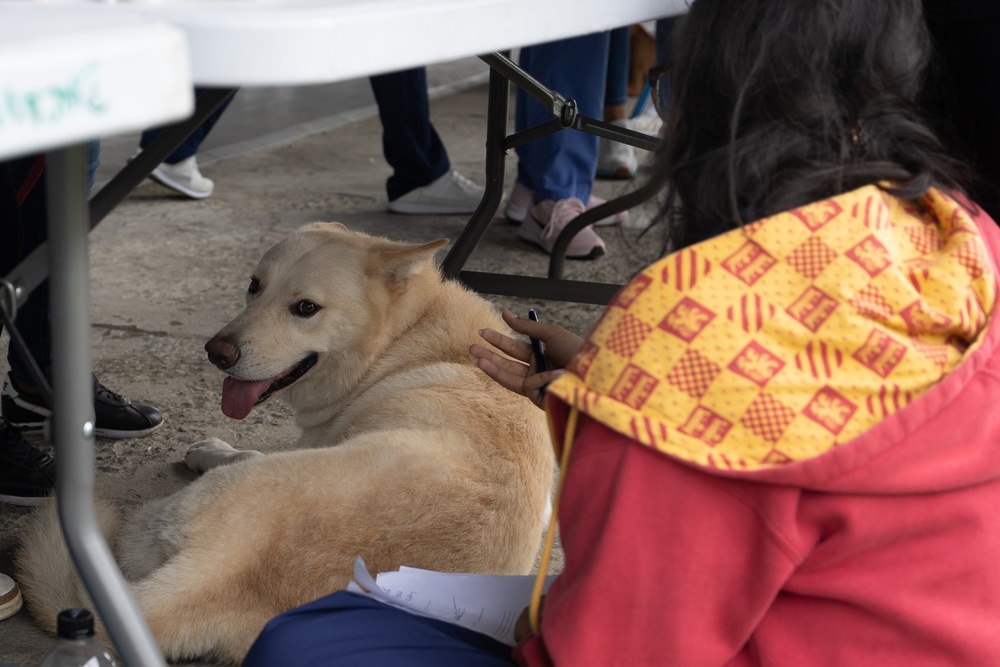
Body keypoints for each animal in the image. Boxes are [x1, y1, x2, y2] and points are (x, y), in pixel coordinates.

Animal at [13, 223, 556, 664]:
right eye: (254, 285)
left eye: (306, 309)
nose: (216, 353)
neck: (404, 332)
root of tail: (218, 569)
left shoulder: (310, 438)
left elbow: (248, 447)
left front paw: (208, 449)